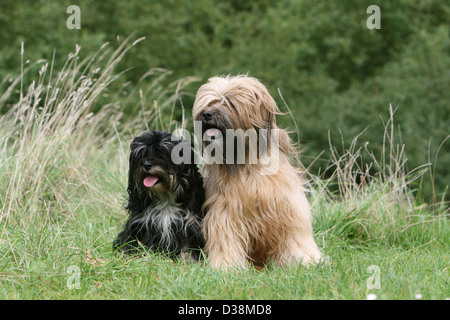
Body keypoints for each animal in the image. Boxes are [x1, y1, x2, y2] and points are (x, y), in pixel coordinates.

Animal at [113, 131, 205, 262]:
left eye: (162, 153)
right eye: (142, 154)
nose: (146, 164)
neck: (165, 197)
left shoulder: (189, 226)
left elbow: (187, 248)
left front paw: (189, 261)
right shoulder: (144, 224)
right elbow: (145, 244)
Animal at [192, 75, 322, 270]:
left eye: (229, 102)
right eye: (210, 102)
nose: (206, 114)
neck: (246, 162)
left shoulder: (288, 206)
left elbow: (294, 237)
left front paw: (304, 260)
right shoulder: (224, 210)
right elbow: (225, 237)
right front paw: (226, 266)